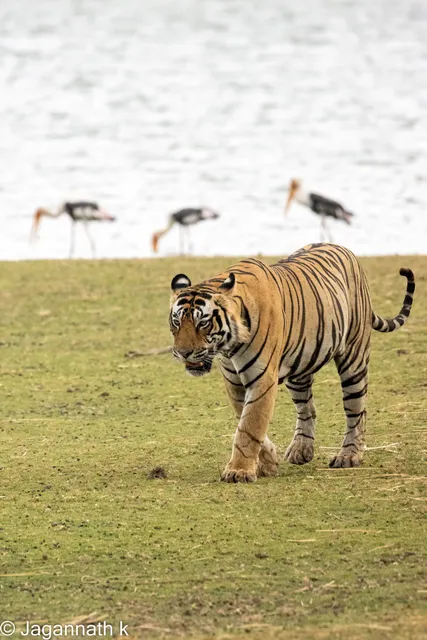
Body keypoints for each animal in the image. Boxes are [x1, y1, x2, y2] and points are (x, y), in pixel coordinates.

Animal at [169, 243, 415, 483]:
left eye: (203, 323)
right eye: (176, 322)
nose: (183, 353)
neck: (229, 347)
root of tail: (345, 250)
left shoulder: (262, 379)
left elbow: (250, 426)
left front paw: (239, 471)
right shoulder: (234, 383)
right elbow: (245, 420)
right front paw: (268, 463)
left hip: (354, 359)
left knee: (356, 410)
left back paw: (349, 455)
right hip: (300, 369)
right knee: (308, 409)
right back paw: (301, 450)